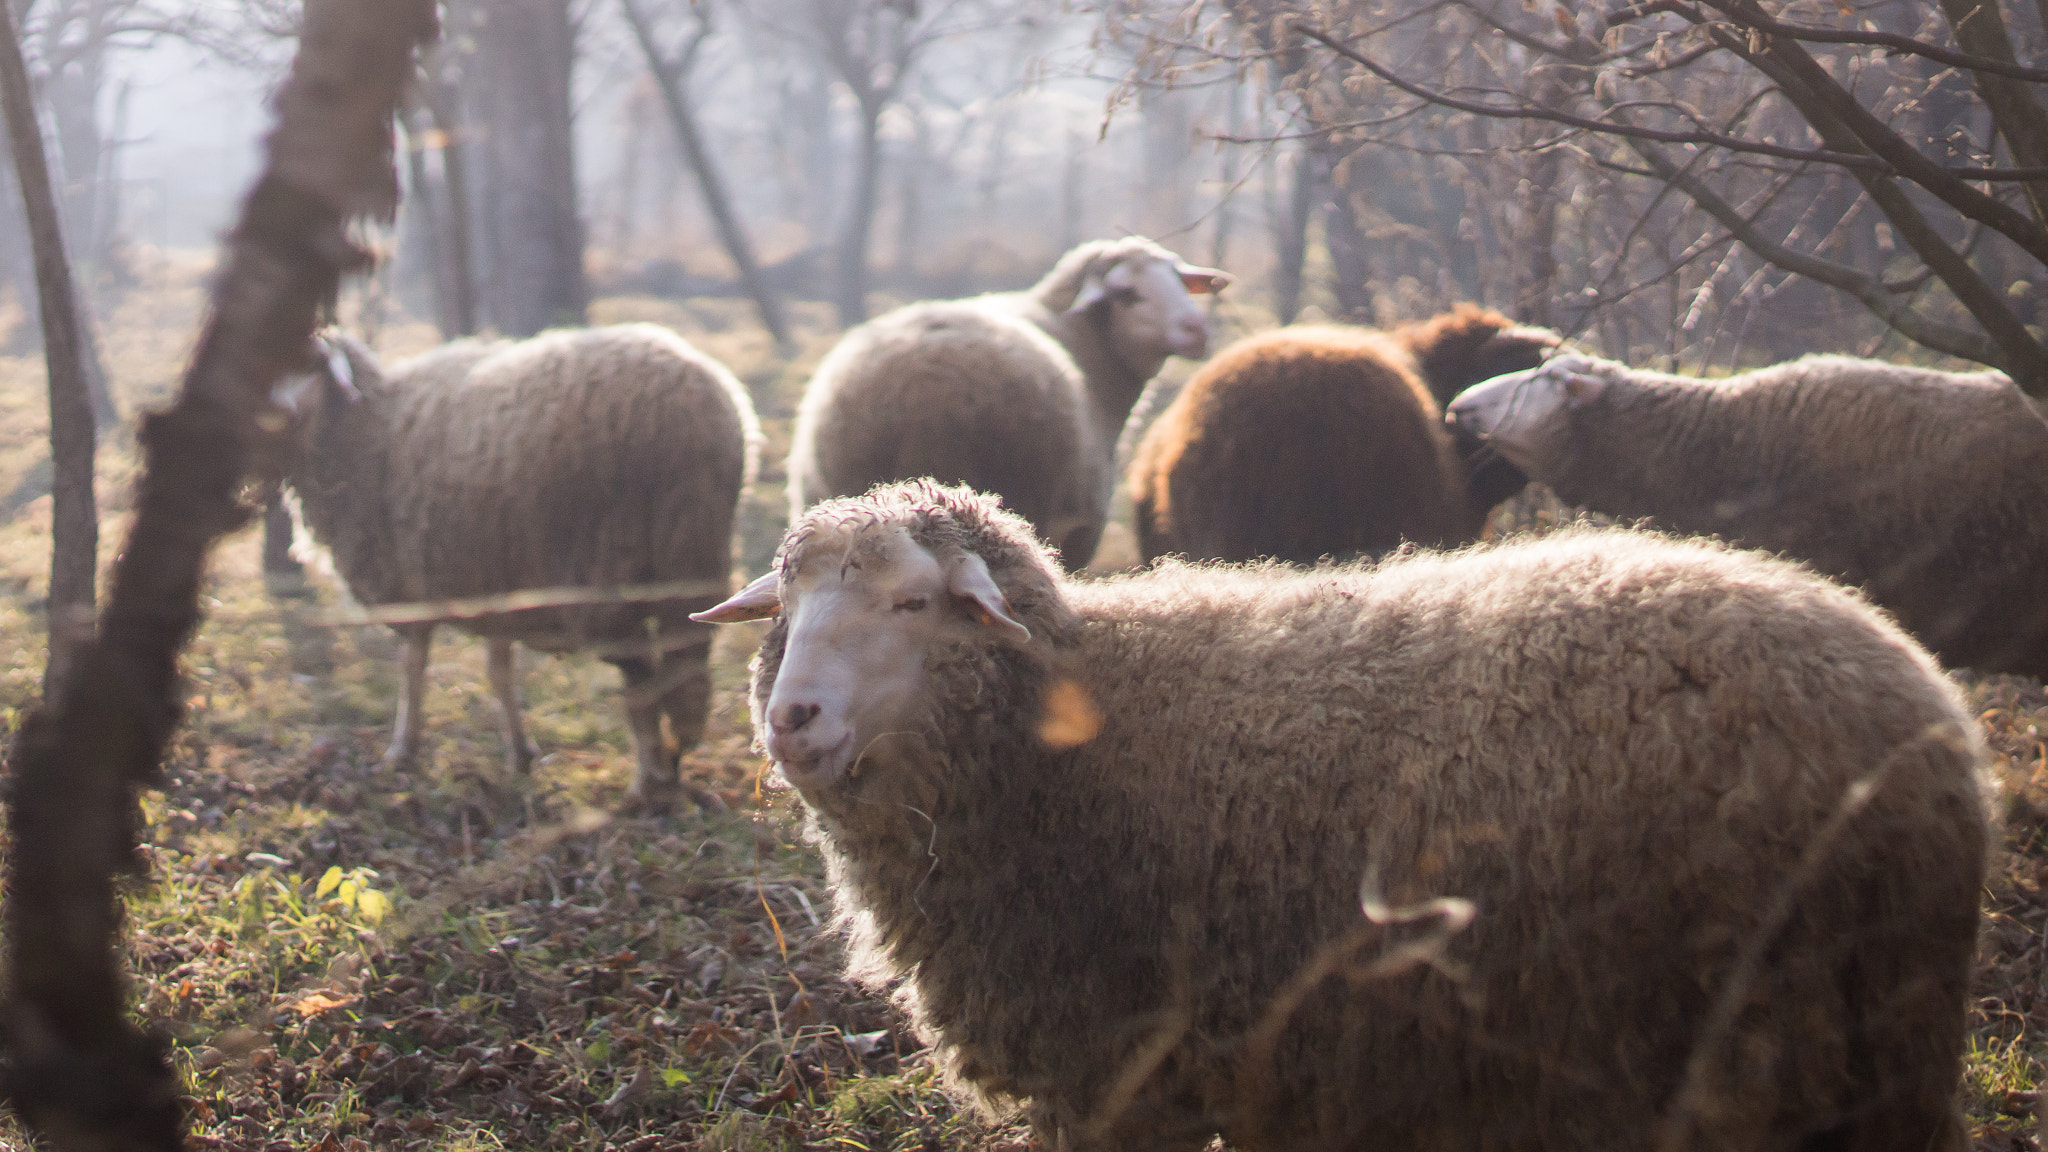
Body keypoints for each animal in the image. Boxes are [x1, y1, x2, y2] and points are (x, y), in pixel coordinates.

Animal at [268, 317, 757, 803]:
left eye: (312, 364)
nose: (281, 412)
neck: (368, 430)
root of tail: (699, 403)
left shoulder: (408, 576)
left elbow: (413, 664)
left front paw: (402, 749)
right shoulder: (494, 578)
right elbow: (498, 670)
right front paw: (519, 754)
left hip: (608, 564)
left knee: (641, 680)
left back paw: (646, 781)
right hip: (692, 553)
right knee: (683, 672)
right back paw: (670, 765)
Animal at [696, 479, 1990, 1147]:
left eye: (913, 603)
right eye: (787, 611)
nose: (793, 720)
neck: (1066, 743)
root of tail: (1926, 709)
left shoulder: (1125, 1071)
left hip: (1778, 1034)